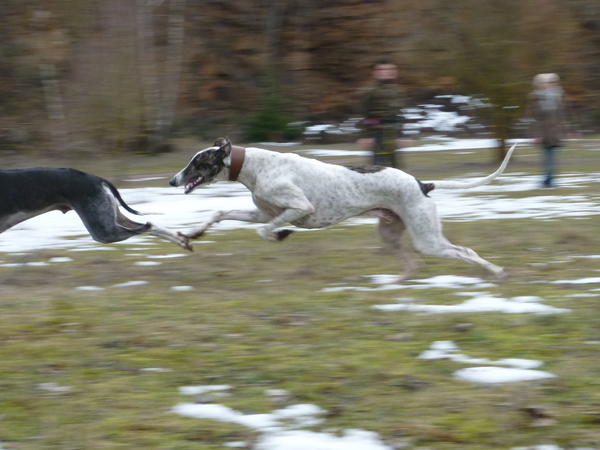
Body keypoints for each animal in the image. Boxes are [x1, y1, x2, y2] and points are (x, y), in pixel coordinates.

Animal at [0, 167, 191, 250]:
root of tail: (97, 178)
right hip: (111, 218)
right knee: (151, 225)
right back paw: (181, 240)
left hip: (103, 230)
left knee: (148, 225)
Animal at [171, 139, 516, 280]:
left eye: (197, 163)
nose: (173, 180)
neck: (255, 167)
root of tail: (422, 184)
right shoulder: (265, 212)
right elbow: (221, 214)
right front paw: (192, 234)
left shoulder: (299, 206)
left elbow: (266, 231)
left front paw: (282, 234)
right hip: (391, 233)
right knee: (413, 263)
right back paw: (394, 284)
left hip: (427, 238)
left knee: (464, 251)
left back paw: (497, 272)